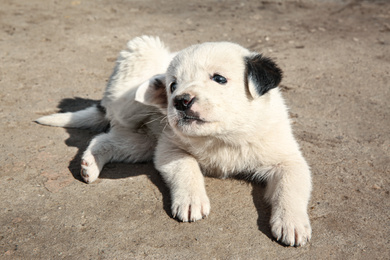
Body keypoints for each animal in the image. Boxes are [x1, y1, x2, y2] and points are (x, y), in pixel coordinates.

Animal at [36, 36, 310, 246]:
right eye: (173, 85)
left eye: (219, 79)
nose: (180, 101)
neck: (222, 137)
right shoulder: (169, 149)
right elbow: (187, 168)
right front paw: (191, 202)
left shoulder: (288, 160)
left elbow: (291, 187)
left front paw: (293, 224)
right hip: (136, 74)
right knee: (111, 121)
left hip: (142, 144)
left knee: (107, 138)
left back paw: (90, 165)